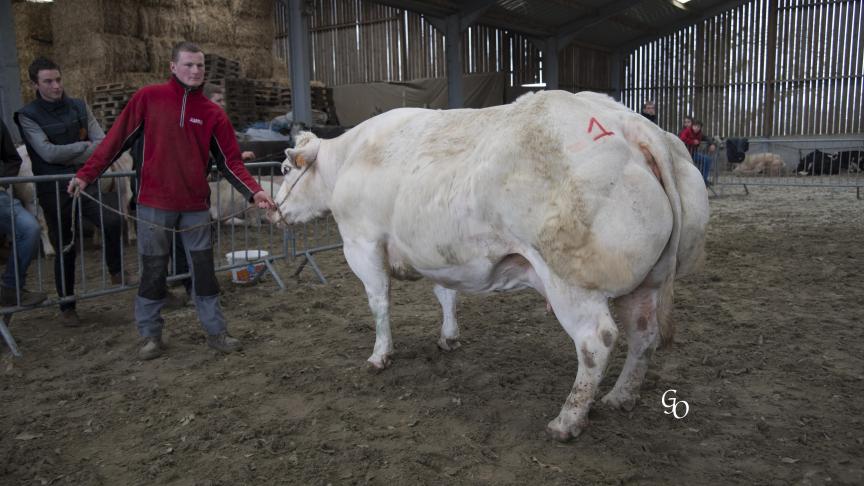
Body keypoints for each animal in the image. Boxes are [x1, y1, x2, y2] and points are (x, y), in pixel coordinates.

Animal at [270, 90, 708, 440]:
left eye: (286, 170)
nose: (274, 210)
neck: (352, 157)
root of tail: (628, 123)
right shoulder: (437, 251)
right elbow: (446, 294)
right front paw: (448, 337)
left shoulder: (362, 243)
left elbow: (379, 304)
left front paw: (380, 356)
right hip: (648, 281)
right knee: (643, 336)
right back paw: (620, 397)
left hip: (572, 283)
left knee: (596, 342)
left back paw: (567, 420)